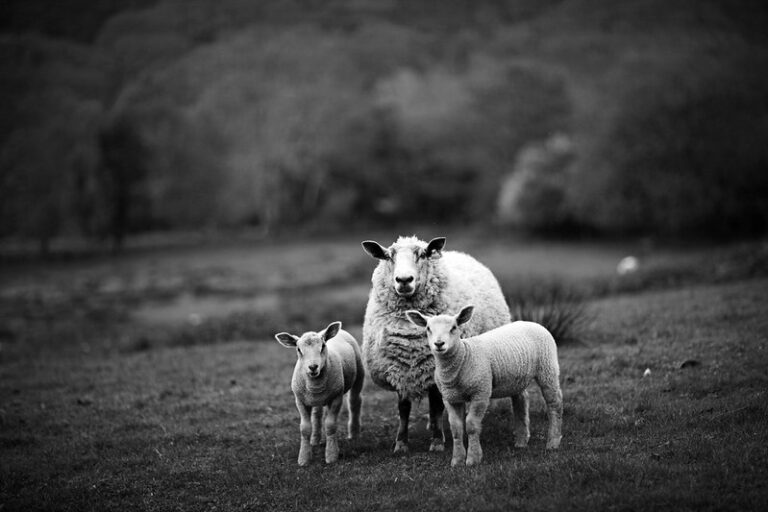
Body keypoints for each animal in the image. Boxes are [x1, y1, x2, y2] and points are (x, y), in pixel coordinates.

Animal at [275, 321, 364, 465]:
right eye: (298, 349)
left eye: (322, 346)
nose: (313, 367)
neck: (315, 384)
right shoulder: (300, 401)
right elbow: (305, 429)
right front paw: (304, 458)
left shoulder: (336, 398)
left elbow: (330, 425)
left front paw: (331, 455)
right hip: (316, 399)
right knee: (317, 414)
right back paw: (315, 439)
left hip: (359, 374)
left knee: (355, 402)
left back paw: (354, 433)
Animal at [361, 235, 510, 453]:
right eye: (389, 256)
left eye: (422, 254)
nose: (404, 280)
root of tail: (458, 253)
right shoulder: (399, 369)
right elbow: (403, 409)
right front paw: (401, 443)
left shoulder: (436, 369)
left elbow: (437, 406)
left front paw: (437, 441)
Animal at [406, 305, 563, 466]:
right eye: (428, 328)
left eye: (454, 327)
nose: (439, 344)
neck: (464, 357)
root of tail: (532, 322)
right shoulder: (450, 398)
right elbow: (456, 429)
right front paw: (457, 460)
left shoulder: (480, 393)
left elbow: (471, 426)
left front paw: (473, 459)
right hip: (517, 378)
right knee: (521, 400)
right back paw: (521, 441)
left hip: (548, 368)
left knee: (554, 403)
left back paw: (553, 442)